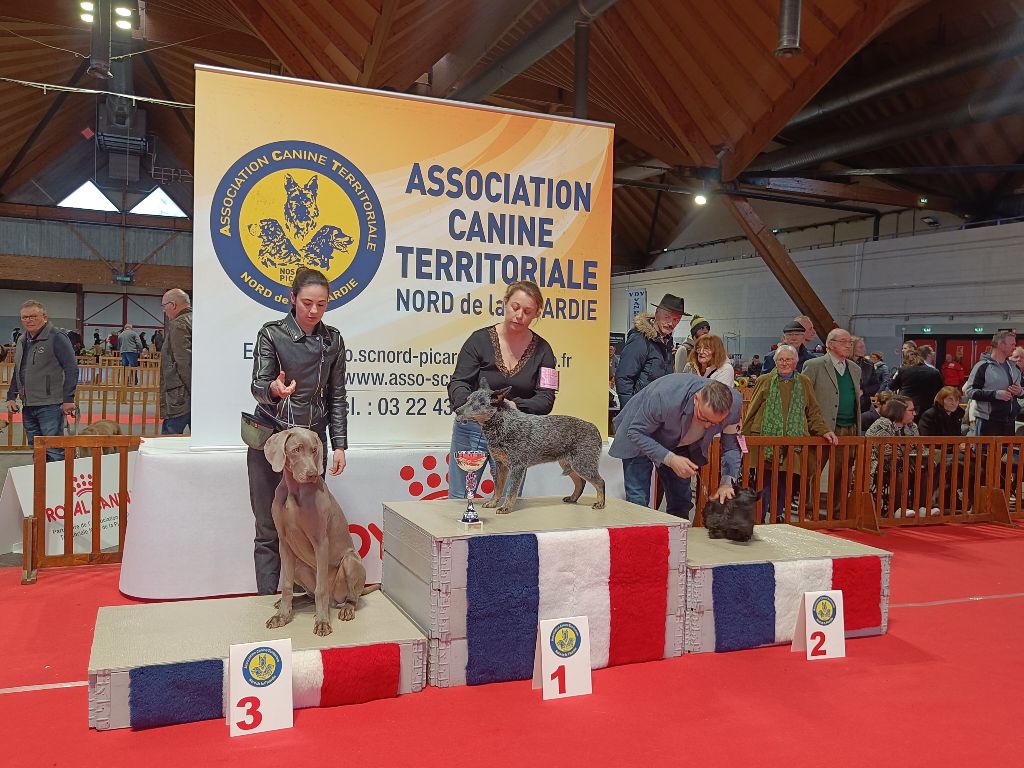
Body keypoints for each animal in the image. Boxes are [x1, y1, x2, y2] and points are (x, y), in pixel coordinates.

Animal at [263, 427, 372, 636]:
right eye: (296, 449)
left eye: (314, 450)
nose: (312, 474)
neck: (295, 491)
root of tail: (334, 600)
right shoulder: (284, 543)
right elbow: (287, 585)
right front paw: (282, 616)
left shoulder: (320, 541)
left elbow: (321, 589)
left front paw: (322, 622)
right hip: (299, 565)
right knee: (309, 594)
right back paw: (291, 602)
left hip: (350, 562)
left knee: (348, 596)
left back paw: (346, 608)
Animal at [453, 383, 605, 515]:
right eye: (467, 400)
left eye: (478, 403)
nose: (456, 410)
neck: (503, 425)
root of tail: (595, 428)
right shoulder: (501, 465)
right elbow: (498, 488)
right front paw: (493, 502)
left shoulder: (517, 467)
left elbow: (511, 491)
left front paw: (506, 507)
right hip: (569, 465)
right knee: (581, 482)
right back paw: (573, 498)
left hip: (582, 466)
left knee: (600, 482)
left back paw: (600, 503)